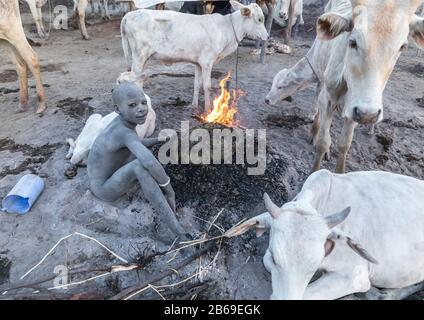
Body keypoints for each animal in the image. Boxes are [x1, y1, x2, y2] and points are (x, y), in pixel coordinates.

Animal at [119, 0, 268, 110]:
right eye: (260, 19)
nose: (267, 36)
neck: (226, 29)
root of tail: (129, 15)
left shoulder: (198, 63)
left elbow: (197, 84)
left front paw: (194, 105)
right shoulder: (207, 62)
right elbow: (207, 86)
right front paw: (208, 110)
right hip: (139, 56)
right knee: (136, 81)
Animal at [294, 0, 424, 174]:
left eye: (402, 47)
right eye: (353, 42)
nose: (368, 115)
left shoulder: (354, 110)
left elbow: (345, 144)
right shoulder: (329, 99)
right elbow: (323, 142)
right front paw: (314, 171)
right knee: (318, 92)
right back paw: (314, 129)